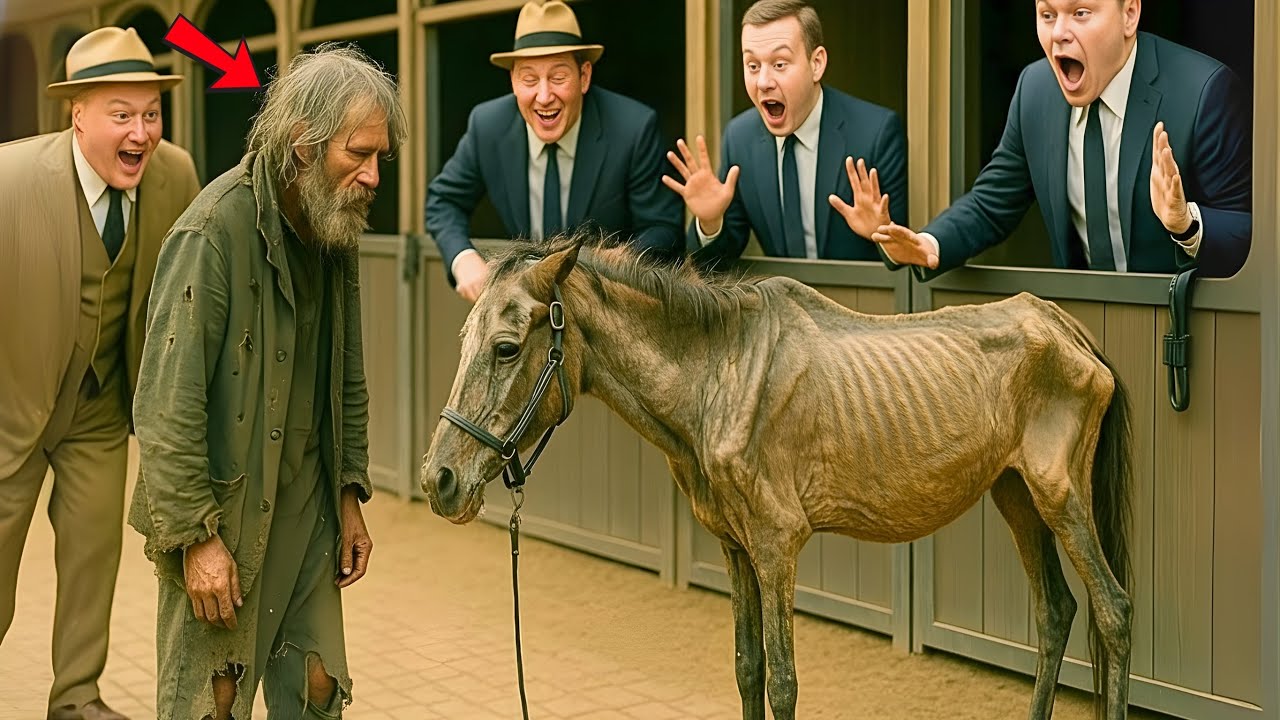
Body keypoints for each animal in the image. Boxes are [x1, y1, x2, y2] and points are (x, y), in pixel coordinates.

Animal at [420, 236, 1133, 720]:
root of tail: (1063, 325)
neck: (720, 375)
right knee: (1056, 615)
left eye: (506, 347)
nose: (439, 480)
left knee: (1115, 611)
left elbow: (785, 680)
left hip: (1061, 498)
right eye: (465, 340)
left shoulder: (775, 547)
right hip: (1017, 498)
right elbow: (747, 669)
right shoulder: (736, 549)